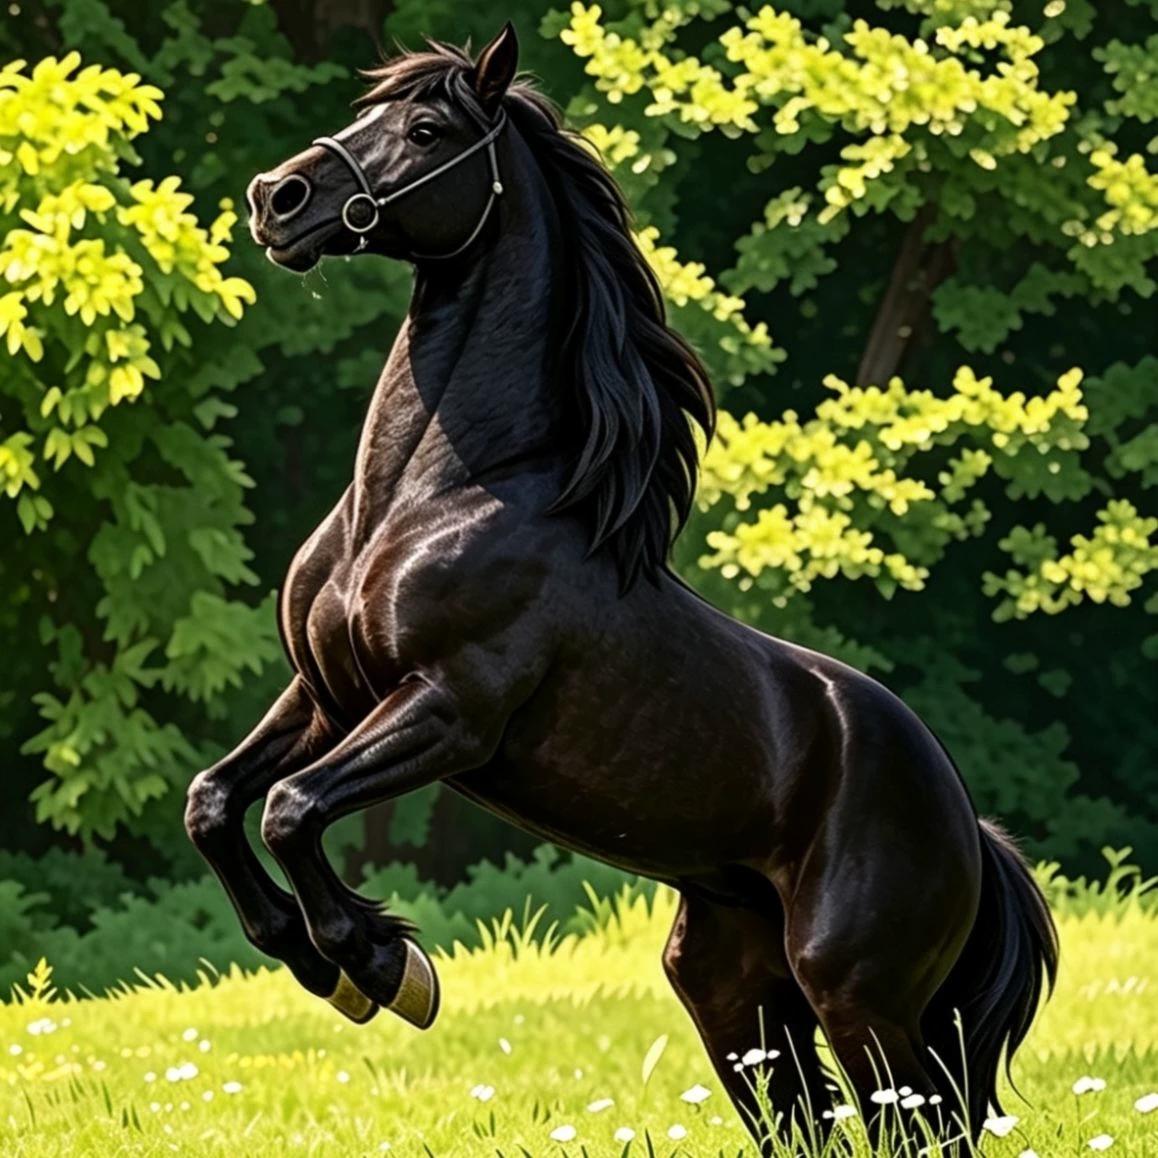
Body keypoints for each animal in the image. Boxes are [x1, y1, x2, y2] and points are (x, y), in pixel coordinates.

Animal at [186, 23, 1057, 1148]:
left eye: (425, 131)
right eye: (366, 111)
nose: (277, 199)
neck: (433, 496)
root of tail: (969, 824)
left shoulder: (448, 711)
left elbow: (290, 809)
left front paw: (384, 967)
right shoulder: (326, 696)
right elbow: (217, 802)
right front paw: (320, 961)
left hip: (862, 999)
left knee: (920, 1124)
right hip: (736, 999)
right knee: (812, 1121)